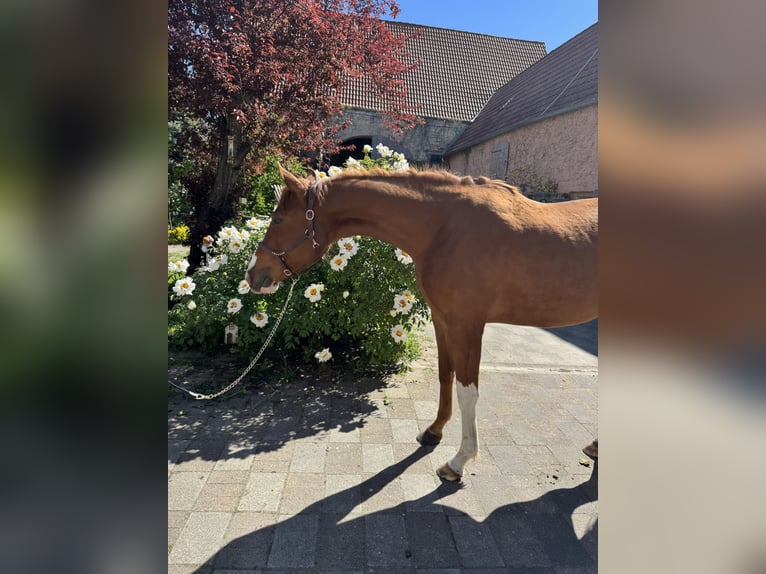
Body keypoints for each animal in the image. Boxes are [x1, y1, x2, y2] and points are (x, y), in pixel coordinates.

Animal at [246, 166, 598, 481]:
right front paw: (433, 432)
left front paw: (459, 461)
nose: (252, 276)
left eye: (278, 219)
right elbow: (445, 377)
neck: (444, 229)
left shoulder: (467, 325)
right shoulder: (444, 320)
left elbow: (467, 391)